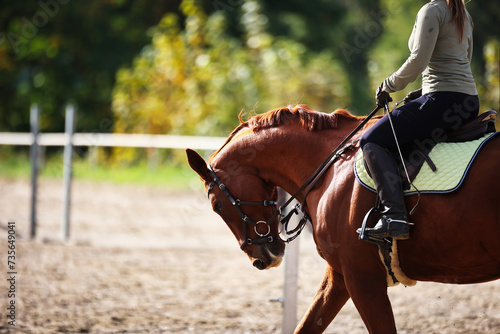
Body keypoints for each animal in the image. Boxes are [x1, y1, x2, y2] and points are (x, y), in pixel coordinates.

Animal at [186, 103, 500, 332]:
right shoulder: (339, 275)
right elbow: (306, 326)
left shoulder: (362, 278)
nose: (262, 259)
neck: (331, 165)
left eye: (216, 205)